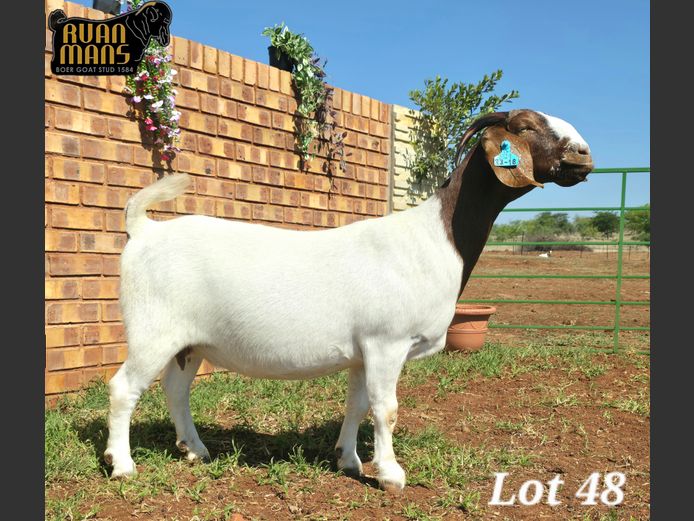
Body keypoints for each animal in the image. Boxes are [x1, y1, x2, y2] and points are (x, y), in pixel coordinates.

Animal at [104, 109, 593, 493]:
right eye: (526, 125)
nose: (584, 154)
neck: (436, 237)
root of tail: (144, 229)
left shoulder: (364, 351)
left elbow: (357, 404)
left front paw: (350, 461)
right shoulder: (387, 342)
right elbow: (387, 409)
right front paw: (391, 474)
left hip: (189, 342)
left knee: (175, 388)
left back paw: (195, 450)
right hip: (152, 330)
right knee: (124, 388)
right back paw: (123, 465)